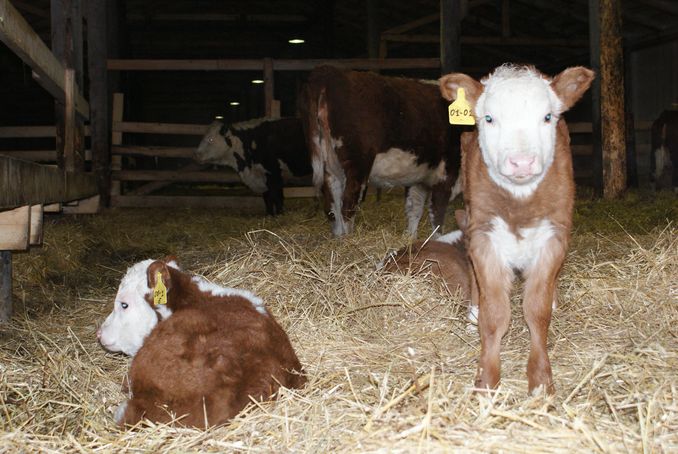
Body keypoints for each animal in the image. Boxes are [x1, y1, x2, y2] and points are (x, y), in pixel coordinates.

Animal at [300, 67, 464, 238]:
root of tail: (328, 71)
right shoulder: (447, 172)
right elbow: (437, 214)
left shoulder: (419, 177)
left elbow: (414, 208)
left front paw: (410, 239)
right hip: (356, 165)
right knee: (347, 207)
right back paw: (349, 240)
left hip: (331, 167)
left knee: (333, 208)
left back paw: (339, 238)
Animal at [440, 63, 596, 394]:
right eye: (489, 118)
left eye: (547, 117)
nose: (522, 162)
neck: (520, 205)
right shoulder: (484, 232)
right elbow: (495, 313)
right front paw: (487, 379)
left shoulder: (555, 234)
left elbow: (537, 310)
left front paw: (541, 380)